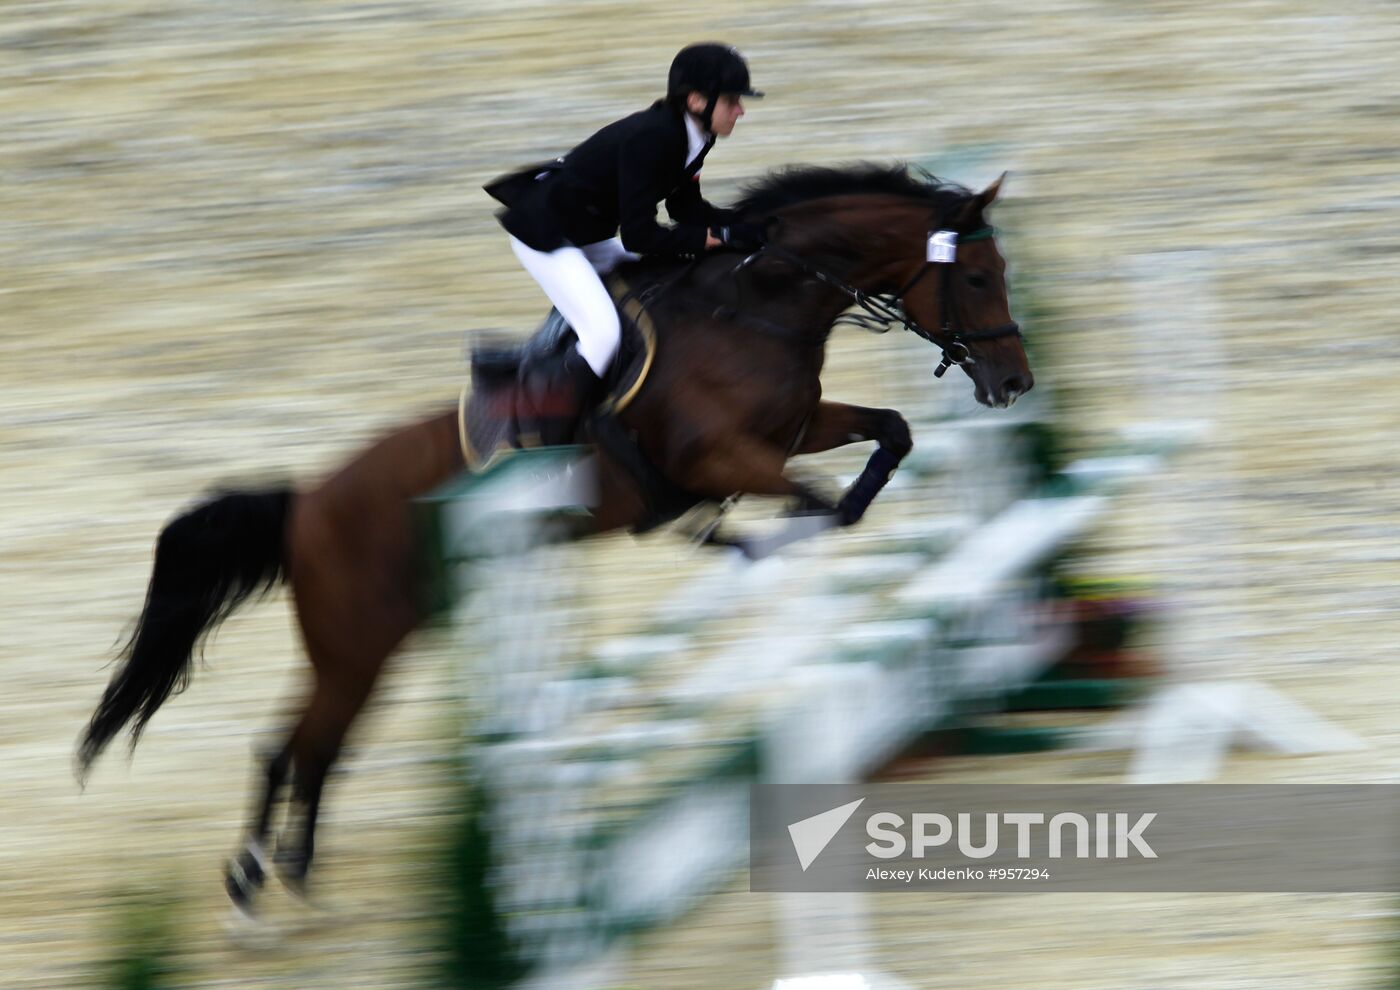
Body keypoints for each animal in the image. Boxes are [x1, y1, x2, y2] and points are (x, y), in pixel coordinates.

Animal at [81, 162, 1036, 912]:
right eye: (977, 277)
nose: (1016, 382)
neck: (754, 306)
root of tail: (306, 502)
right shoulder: (722, 455)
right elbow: (816, 497)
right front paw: (758, 541)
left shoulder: (796, 427)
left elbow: (889, 437)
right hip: (356, 641)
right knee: (301, 745)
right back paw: (257, 886)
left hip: (377, 639)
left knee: (306, 747)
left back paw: (282, 879)